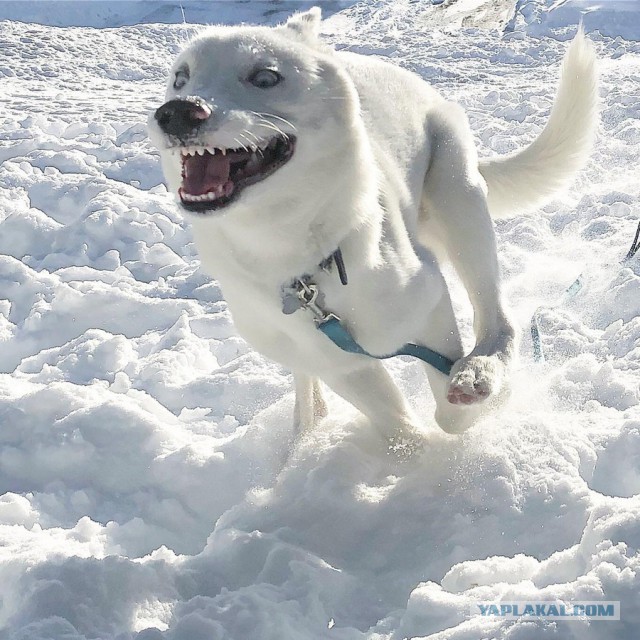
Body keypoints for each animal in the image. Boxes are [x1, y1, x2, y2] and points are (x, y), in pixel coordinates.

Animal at [148, 8, 596, 450]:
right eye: (180, 78)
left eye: (265, 77)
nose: (178, 112)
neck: (298, 258)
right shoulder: (340, 362)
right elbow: (397, 427)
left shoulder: (429, 303)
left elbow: (448, 415)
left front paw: (483, 401)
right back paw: (306, 423)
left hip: (460, 200)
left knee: (497, 317)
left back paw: (481, 370)